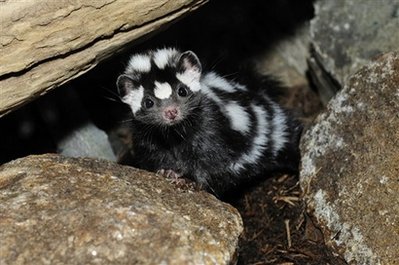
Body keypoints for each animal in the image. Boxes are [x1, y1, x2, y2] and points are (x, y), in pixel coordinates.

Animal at [117, 48, 302, 196]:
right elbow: (155, 158)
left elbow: (214, 162)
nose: (171, 112)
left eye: (182, 91)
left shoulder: (212, 129)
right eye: (148, 102)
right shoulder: (149, 138)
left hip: (275, 134)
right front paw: (168, 173)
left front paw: (194, 184)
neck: (175, 134)